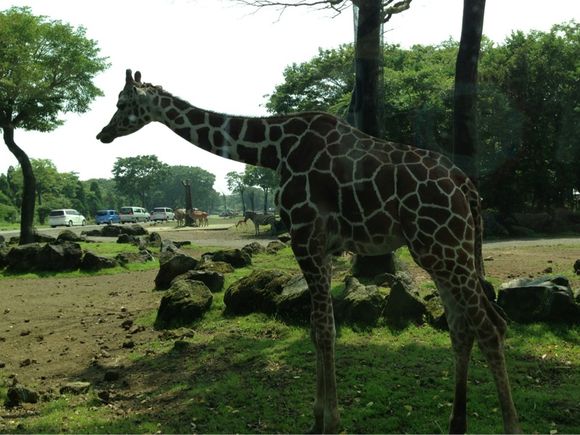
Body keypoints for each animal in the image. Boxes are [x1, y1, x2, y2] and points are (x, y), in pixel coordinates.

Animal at [96, 70, 520, 434]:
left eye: (122, 102)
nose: (103, 134)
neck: (272, 148)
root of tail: (467, 186)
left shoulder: (304, 235)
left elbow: (323, 329)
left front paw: (329, 421)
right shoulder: (325, 246)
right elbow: (320, 330)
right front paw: (319, 417)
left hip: (444, 245)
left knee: (490, 326)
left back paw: (509, 426)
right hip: (437, 250)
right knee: (463, 327)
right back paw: (456, 424)